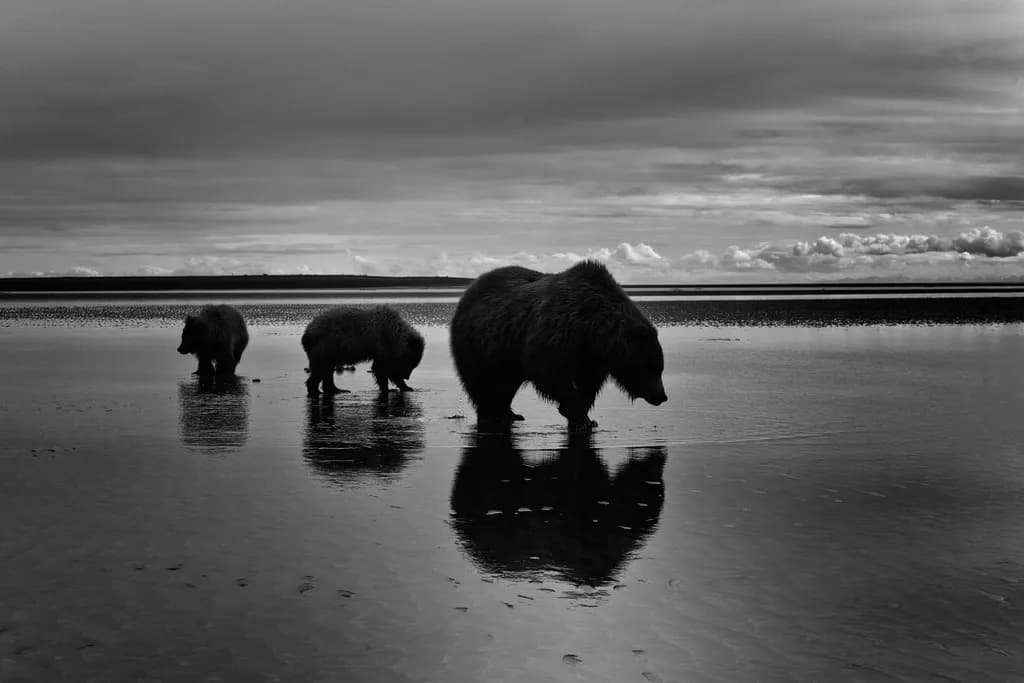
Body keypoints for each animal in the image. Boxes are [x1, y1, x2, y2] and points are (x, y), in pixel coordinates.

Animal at [449, 260, 667, 432]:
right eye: (651, 367)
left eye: (659, 368)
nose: (662, 396)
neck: (592, 328)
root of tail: (469, 289)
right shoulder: (557, 333)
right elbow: (548, 372)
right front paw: (577, 415)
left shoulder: (591, 355)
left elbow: (589, 383)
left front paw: (586, 417)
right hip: (478, 344)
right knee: (481, 382)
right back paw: (493, 414)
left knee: (505, 384)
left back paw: (510, 413)